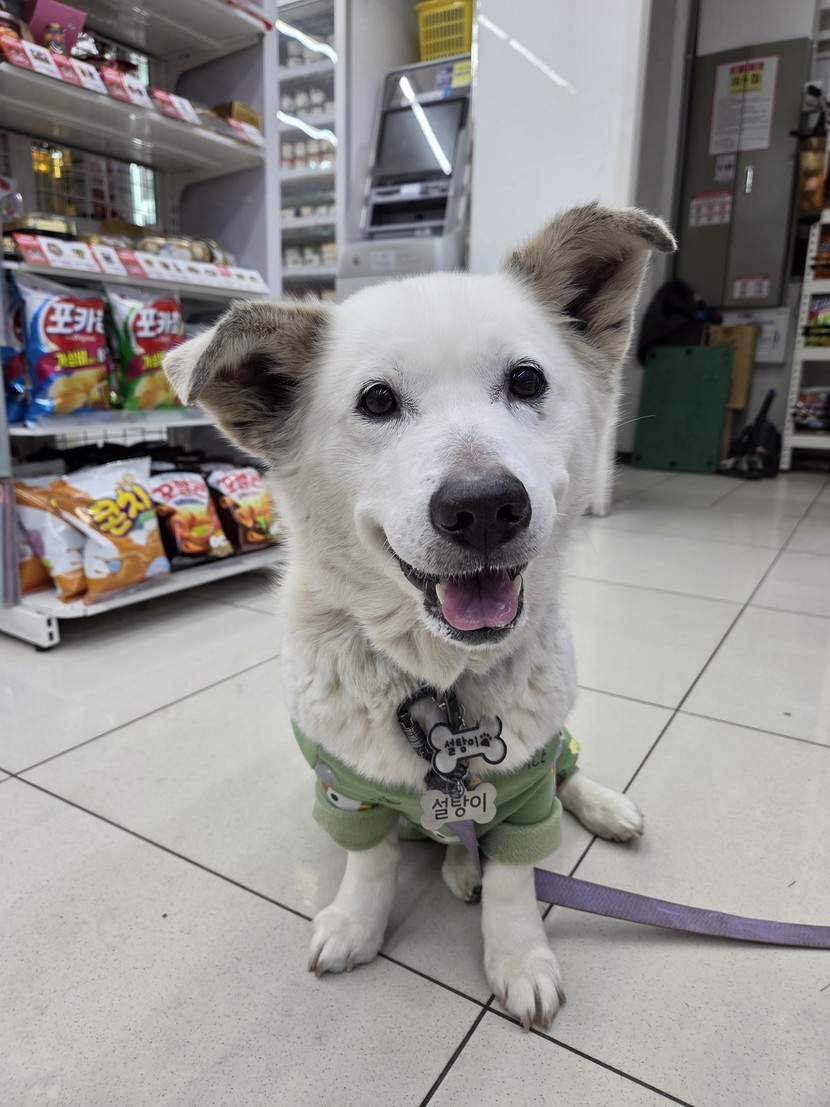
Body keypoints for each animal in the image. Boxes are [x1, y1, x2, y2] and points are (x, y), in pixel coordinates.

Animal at [165, 202, 676, 1031]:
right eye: (377, 400)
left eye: (527, 380)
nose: (484, 507)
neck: (441, 680)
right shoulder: (346, 787)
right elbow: (368, 863)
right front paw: (355, 924)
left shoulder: (526, 792)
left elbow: (515, 881)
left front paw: (519, 958)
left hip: (555, 750)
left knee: (570, 770)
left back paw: (598, 809)